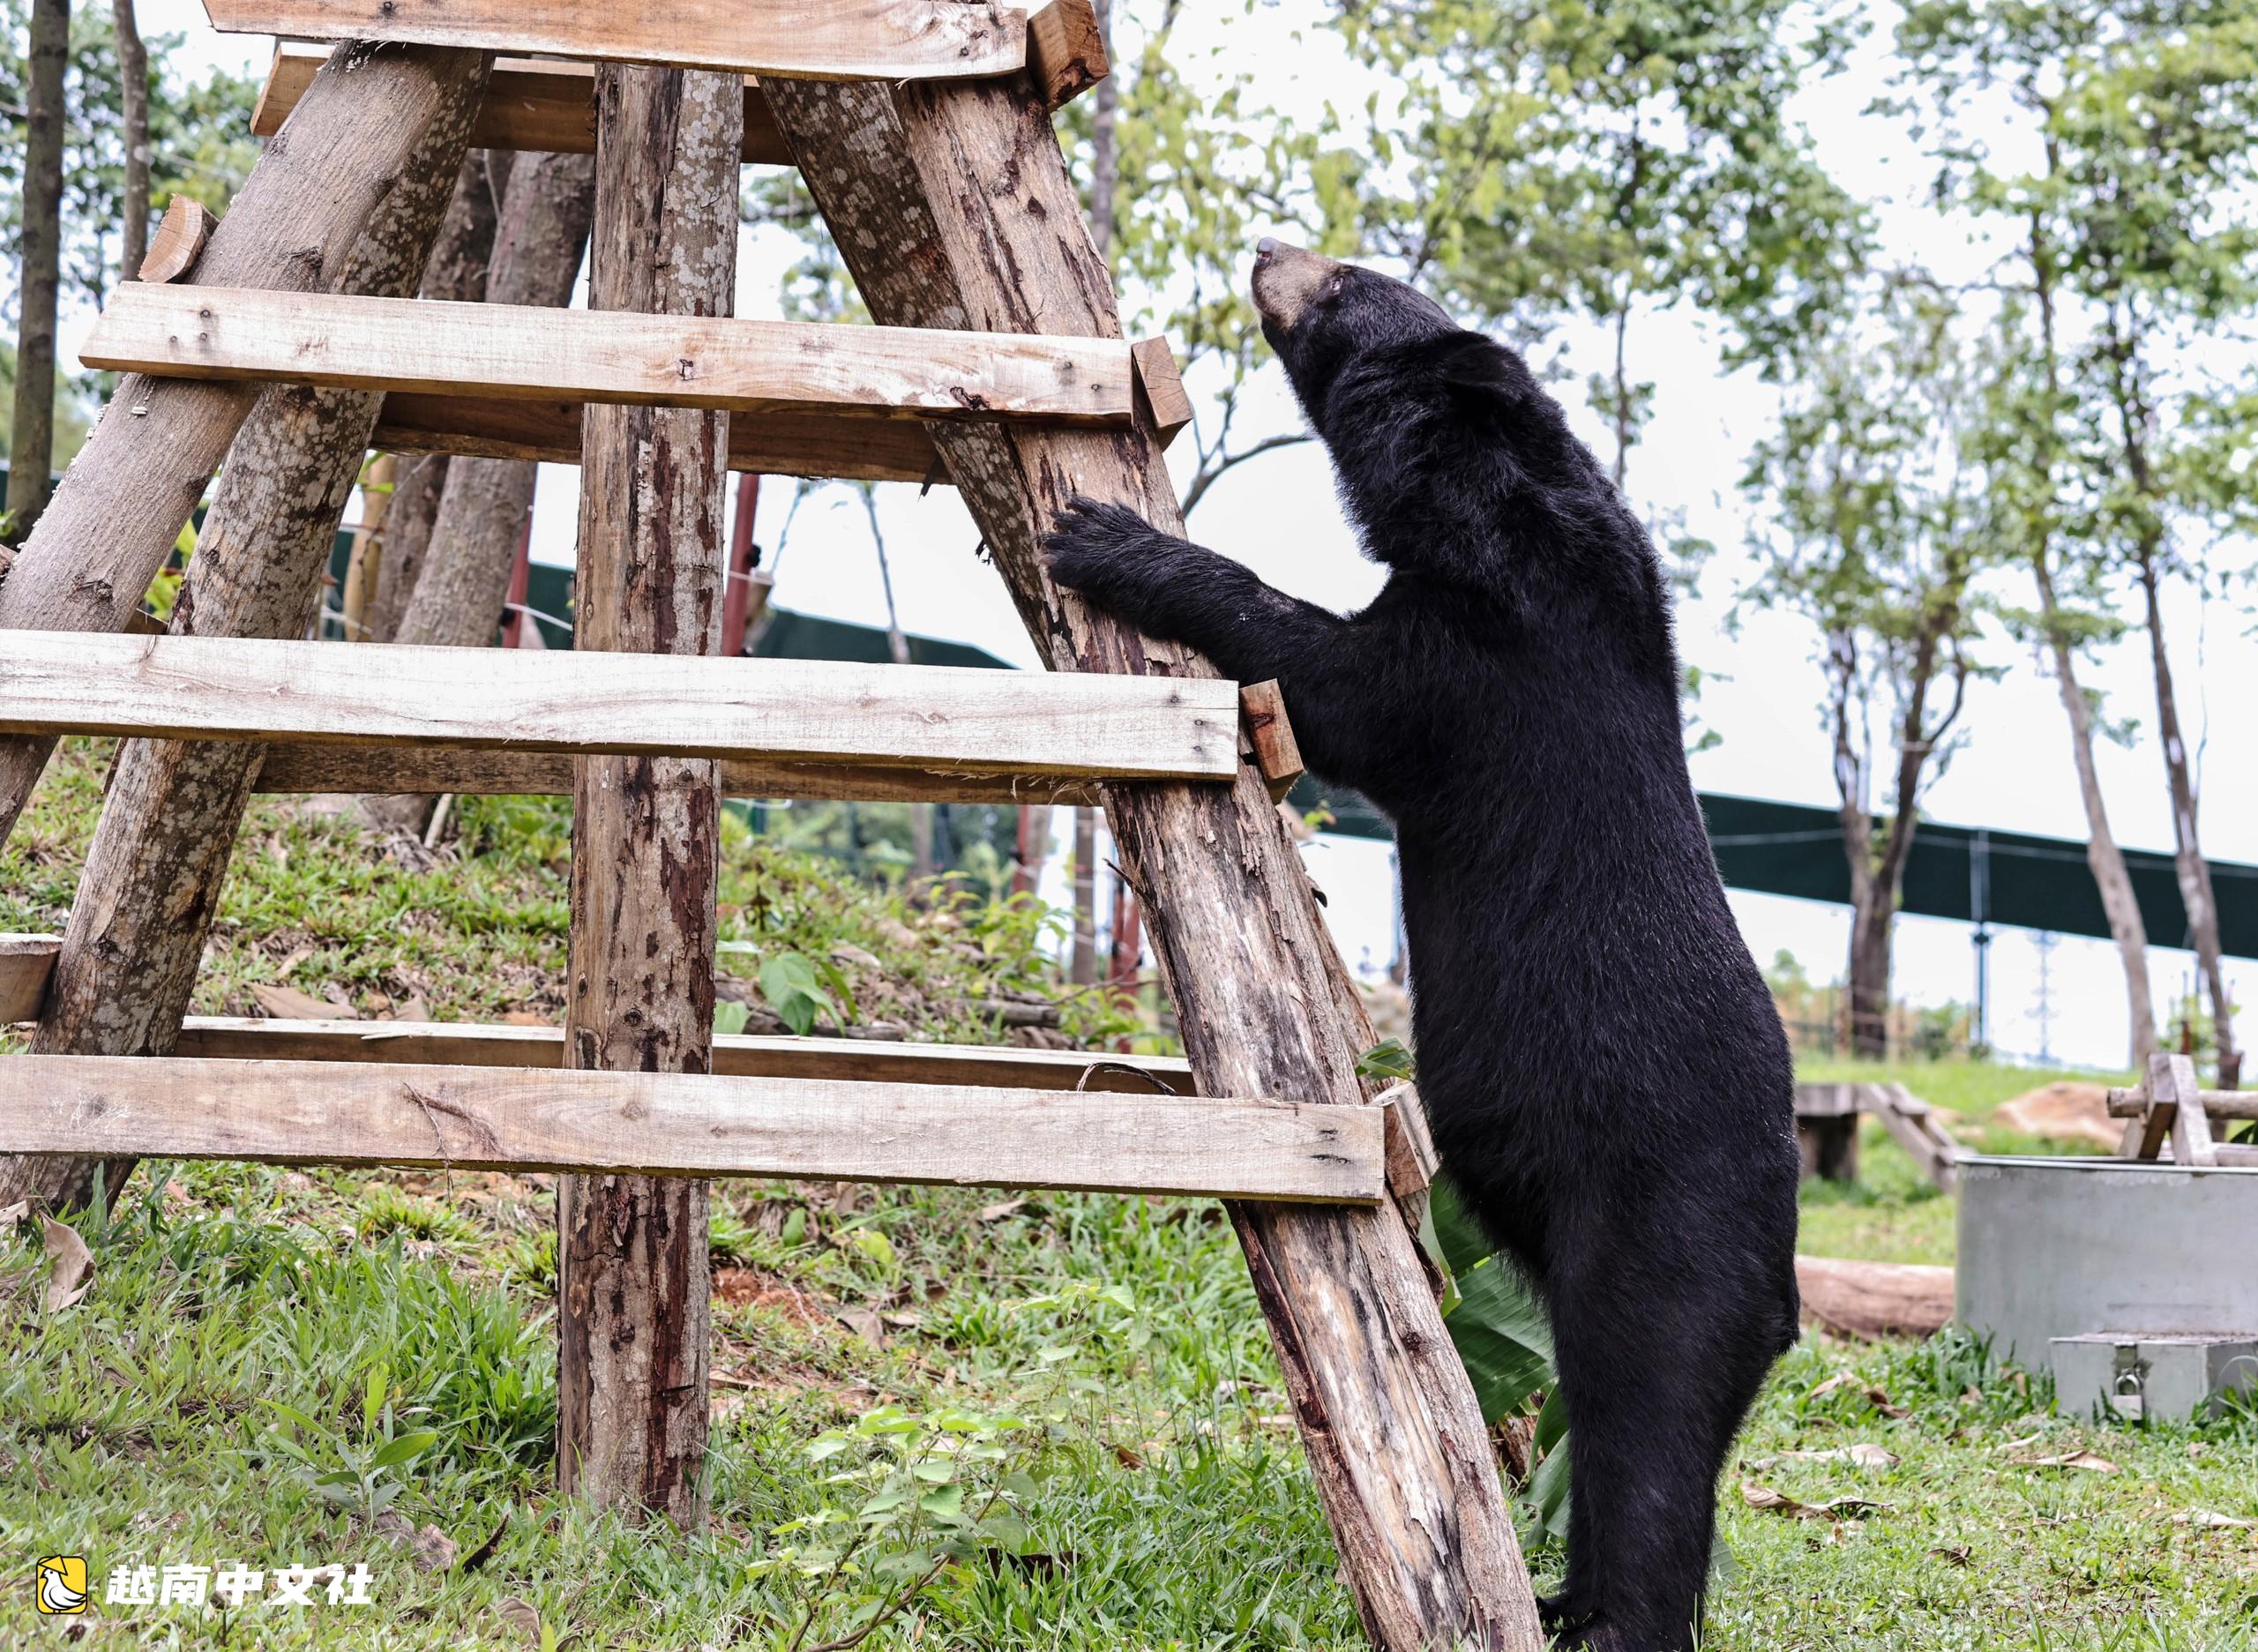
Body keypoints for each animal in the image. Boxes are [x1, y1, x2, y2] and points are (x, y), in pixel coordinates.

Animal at [1043, 240, 1802, 1652]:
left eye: (1345, 285)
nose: (1268, 248)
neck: (1503, 491)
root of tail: (1786, 1279)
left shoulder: (1485, 659)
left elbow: (1332, 678)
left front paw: (1102, 535)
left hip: (1658, 1233)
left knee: (1647, 1424)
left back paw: (1606, 1617)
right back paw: (1564, 1596)